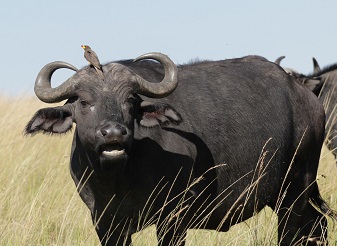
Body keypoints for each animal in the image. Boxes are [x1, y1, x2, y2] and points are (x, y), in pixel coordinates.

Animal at [25, 51, 334, 244]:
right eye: (84, 102)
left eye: (130, 100)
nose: (113, 133)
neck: (119, 178)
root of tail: (307, 95)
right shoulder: (105, 223)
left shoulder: (173, 219)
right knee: (317, 225)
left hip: (295, 188)